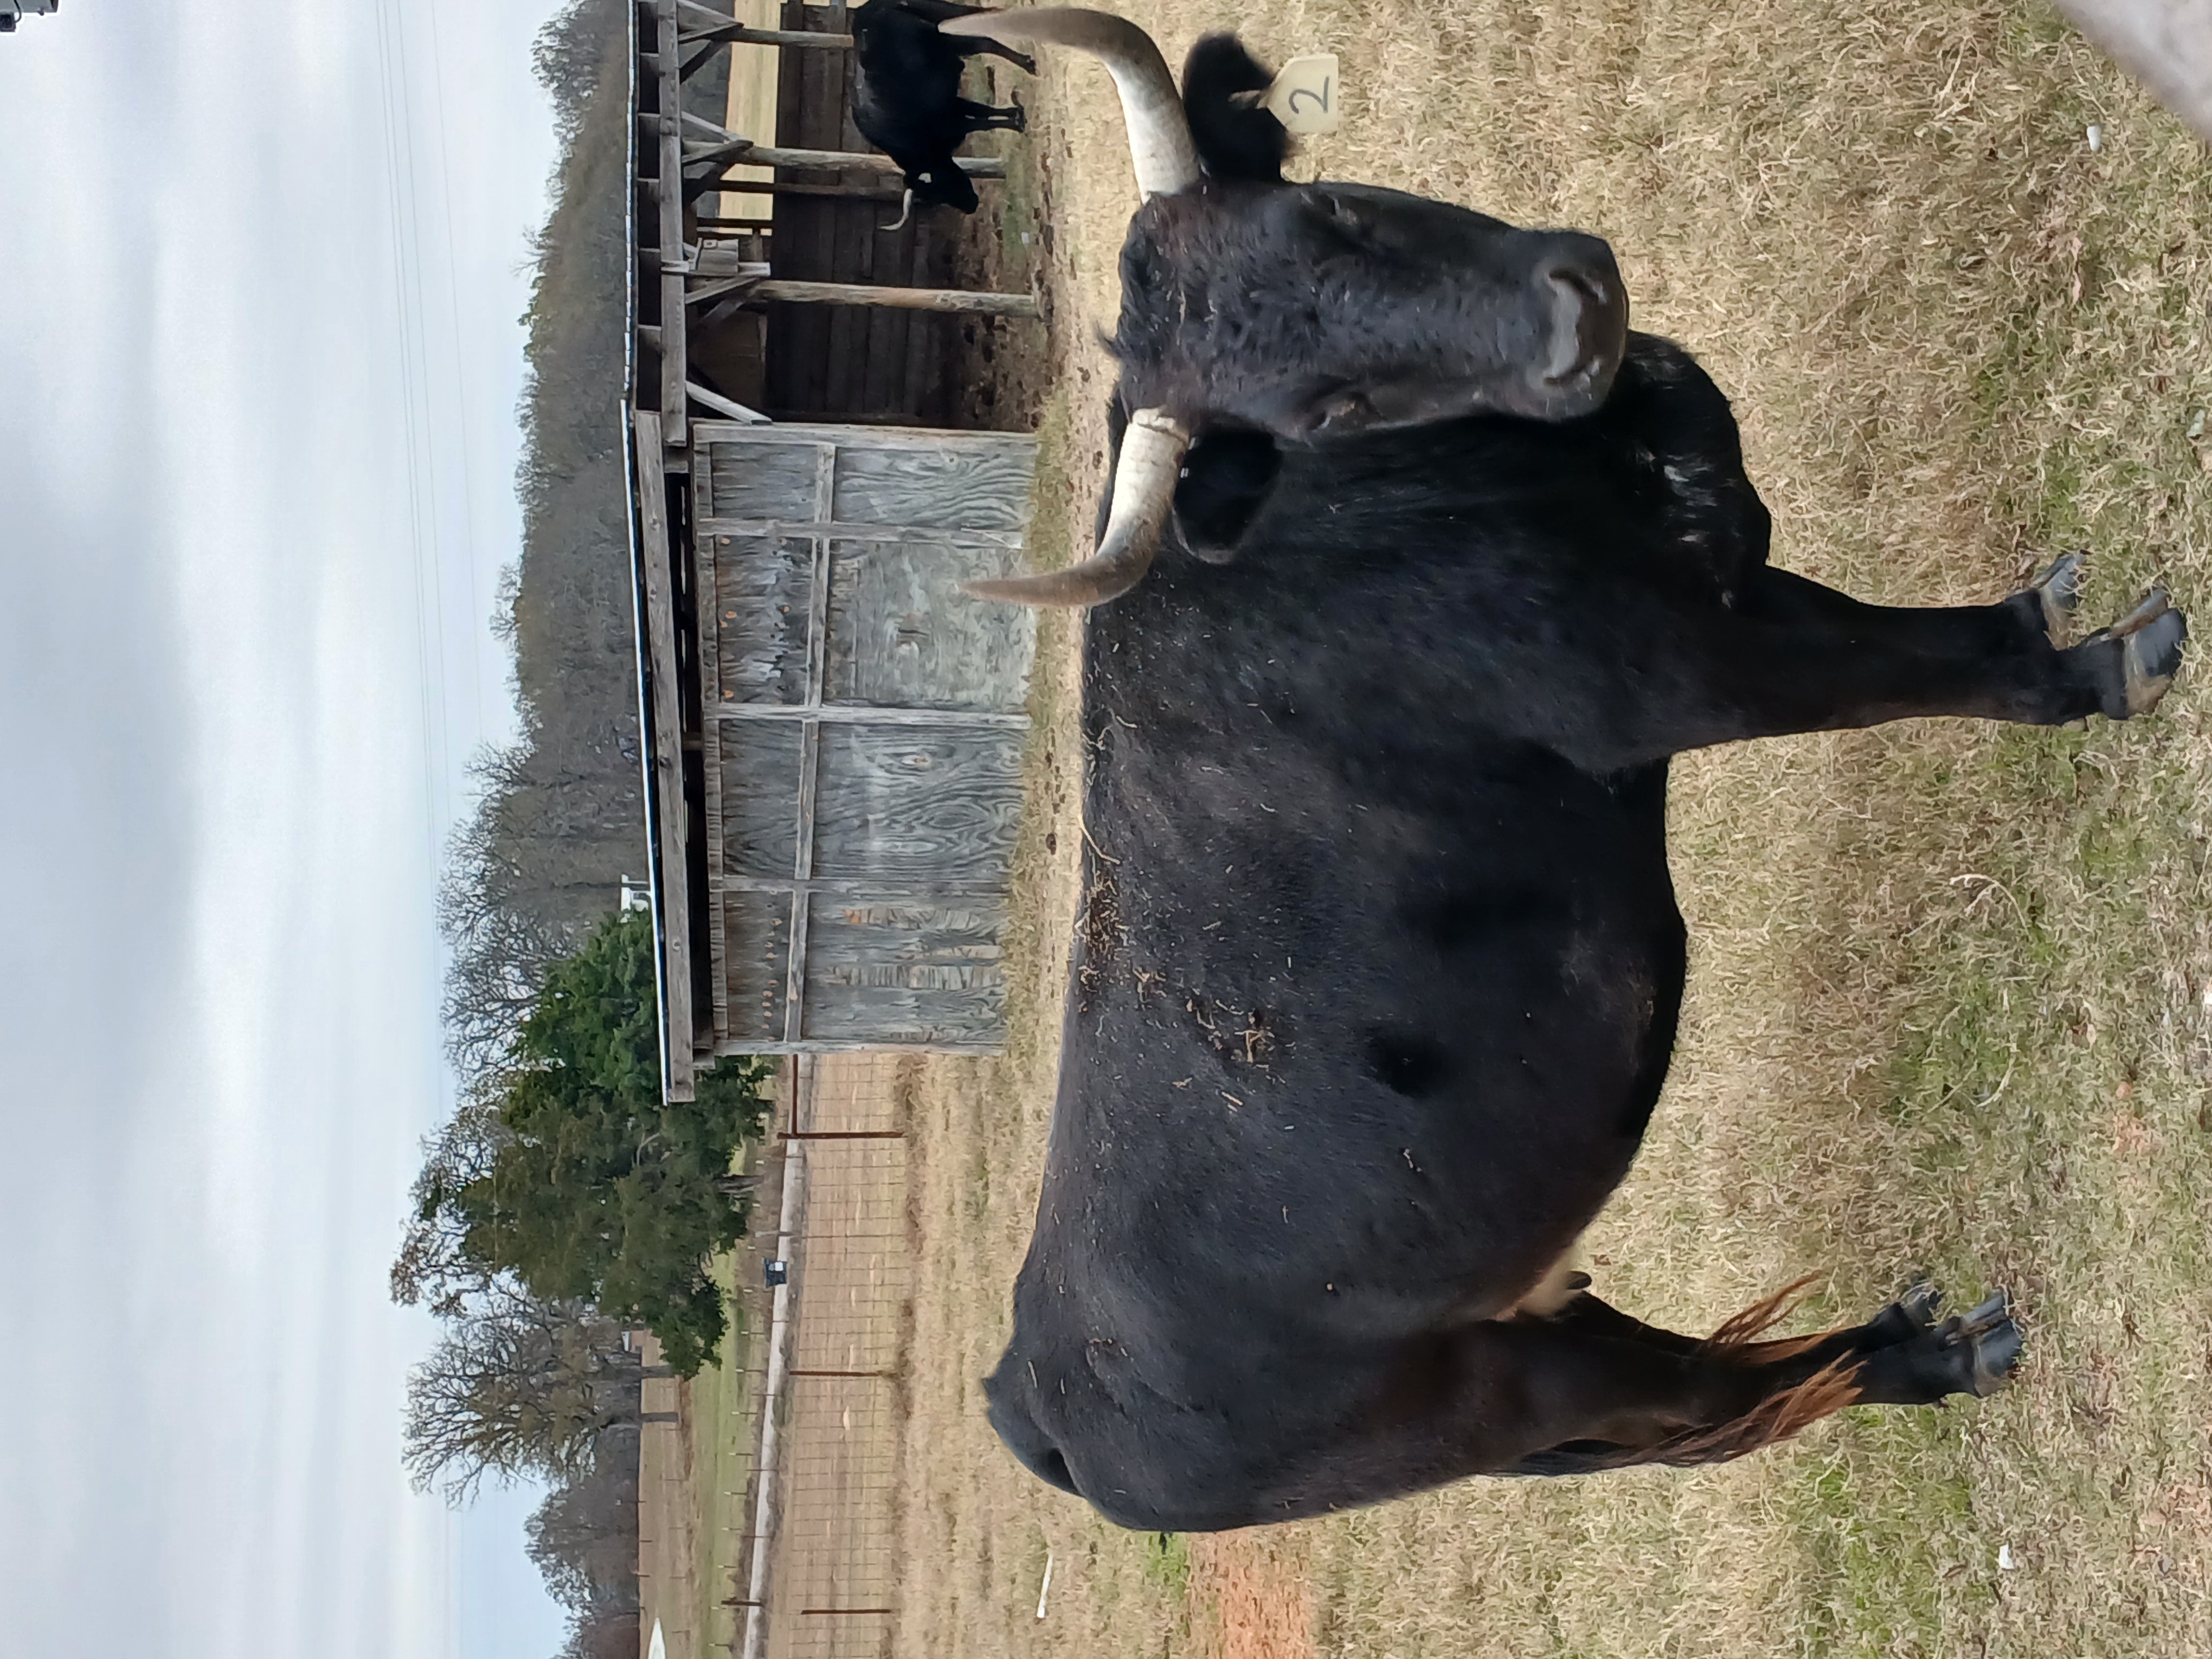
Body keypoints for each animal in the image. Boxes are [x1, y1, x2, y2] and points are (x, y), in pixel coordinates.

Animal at [850, 0, 1033, 227]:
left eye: (938, 189)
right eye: (935, 197)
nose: (971, 207)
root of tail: (865, 11)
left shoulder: (950, 122)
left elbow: (981, 123)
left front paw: (1016, 121)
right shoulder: (951, 105)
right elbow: (982, 111)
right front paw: (1016, 115)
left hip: (941, 39)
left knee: (984, 42)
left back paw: (1027, 63)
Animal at [937, 10, 2190, 1532]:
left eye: (1326, 209)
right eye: (1330, 406)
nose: (1570, 316)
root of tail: (1036, 1396)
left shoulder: (1718, 579)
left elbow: (1918, 635)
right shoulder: (1684, 671)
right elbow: (1925, 669)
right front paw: (2103, 669)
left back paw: (1905, 1343)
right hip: (1510, 1393)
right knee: (1698, 1404)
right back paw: (1944, 1358)